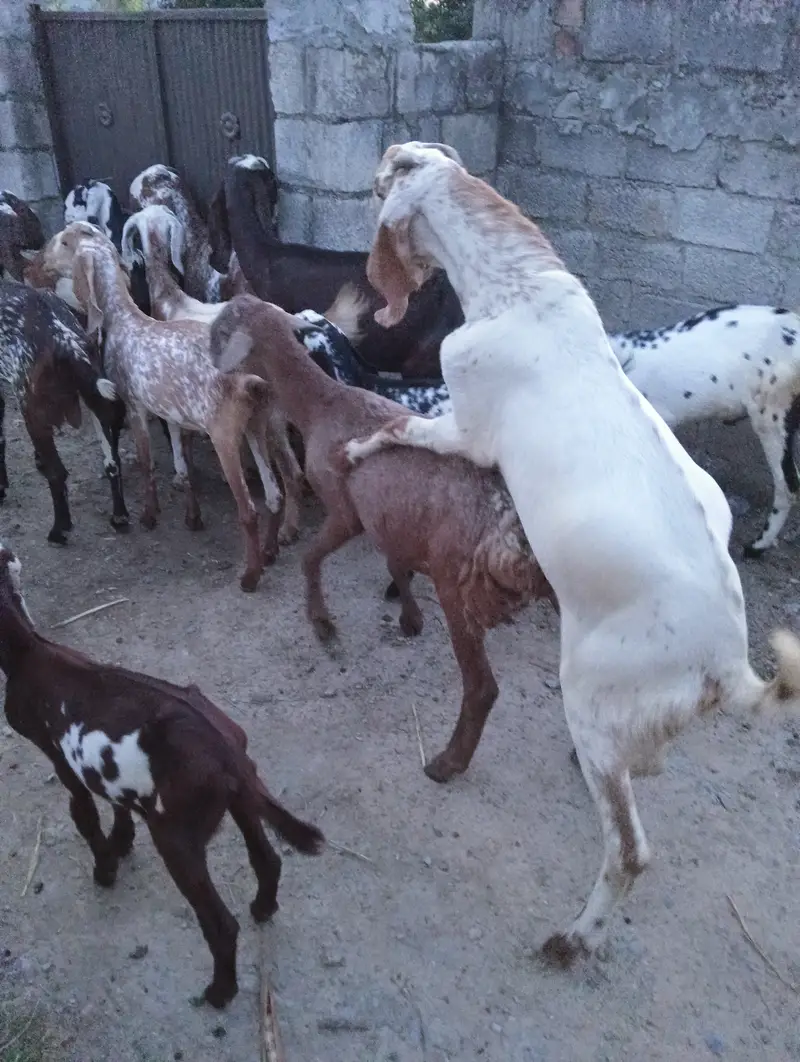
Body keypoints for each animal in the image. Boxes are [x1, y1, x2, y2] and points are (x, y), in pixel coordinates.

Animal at [0, 281, 128, 542]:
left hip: (32, 412)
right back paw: (119, 516)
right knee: (112, 463)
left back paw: (59, 530)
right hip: (97, 402)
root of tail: (65, 340)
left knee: (58, 474)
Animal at [0, 543, 324, 1008]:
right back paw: (262, 909)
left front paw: (105, 871)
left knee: (221, 924)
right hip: (241, 800)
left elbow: (84, 818)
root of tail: (227, 756)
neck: (30, 649)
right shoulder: (107, 771)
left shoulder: (61, 761)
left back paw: (220, 991)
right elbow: (116, 804)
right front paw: (121, 843)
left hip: (177, 835)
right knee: (268, 860)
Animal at [43, 222, 281, 592]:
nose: (42, 256)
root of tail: (249, 377)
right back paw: (270, 552)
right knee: (274, 494)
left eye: (66, 242)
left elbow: (146, 462)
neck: (126, 321)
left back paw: (251, 576)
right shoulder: (173, 412)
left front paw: (149, 515)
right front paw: (192, 515)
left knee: (249, 510)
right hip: (259, 423)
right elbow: (183, 466)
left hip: (225, 434)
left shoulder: (135, 405)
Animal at [121, 203, 305, 545]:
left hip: (272, 411)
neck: (170, 297)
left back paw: (288, 529)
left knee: (291, 471)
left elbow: (175, 431)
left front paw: (181, 474)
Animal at [210, 294, 556, 782]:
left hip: (457, 588)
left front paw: (321, 622)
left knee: (482, 688)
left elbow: (311, 558)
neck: (323, 403)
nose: (208, 358)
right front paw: (410, 617)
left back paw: (447, 763)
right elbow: (395, 563)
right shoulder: (388, 518)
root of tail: (522, 545)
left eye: (221, 330)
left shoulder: (345, 510)